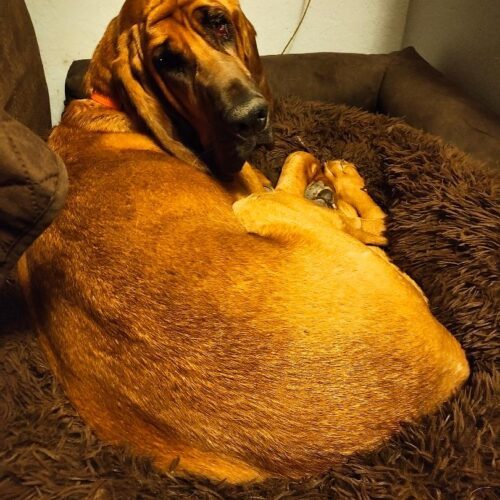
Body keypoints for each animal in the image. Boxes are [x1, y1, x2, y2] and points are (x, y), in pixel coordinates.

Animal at [18, 0, 468, 484]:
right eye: (166, 60)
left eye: (218, 22)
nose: (251, 118)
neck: (109, 106)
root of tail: (448, 372)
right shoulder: (265, 190)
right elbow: (305, 163)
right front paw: (333, 186)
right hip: (260, 207)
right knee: (364, 220)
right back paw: (341, 184)